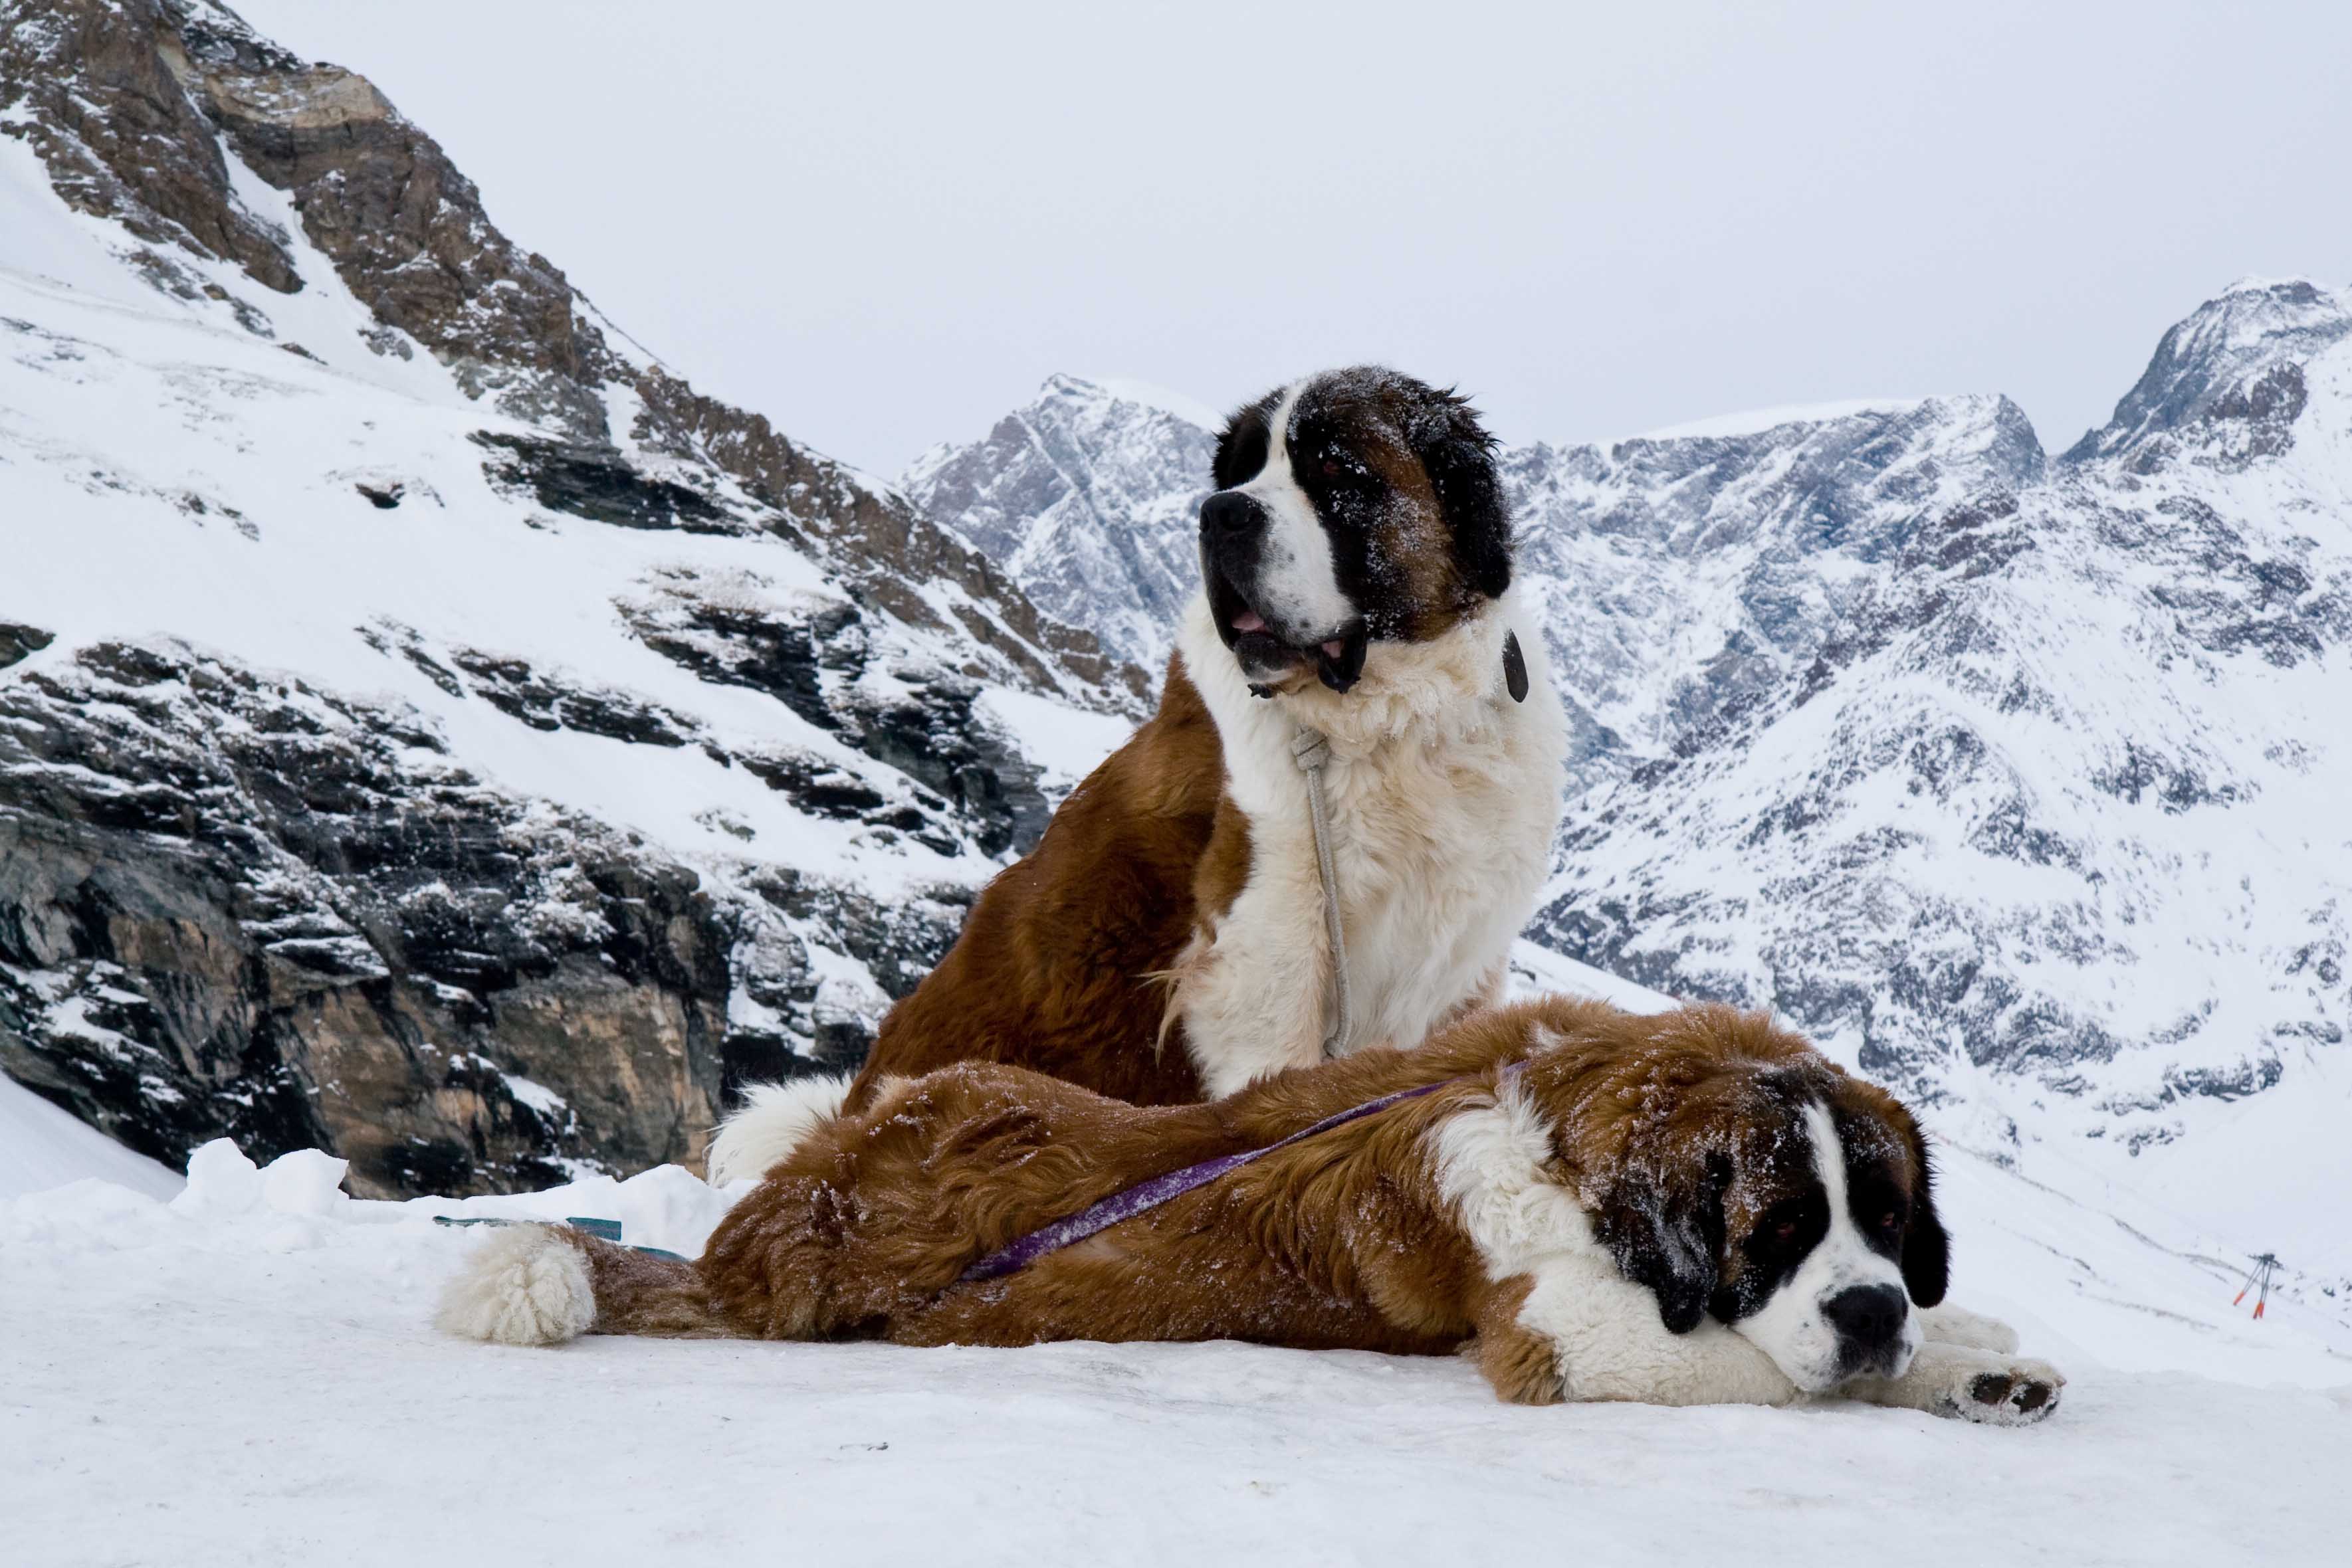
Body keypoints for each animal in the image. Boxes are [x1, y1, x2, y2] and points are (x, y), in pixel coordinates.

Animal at [437, 1001, 2060, 1429]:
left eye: (1886, 1222)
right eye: (1772, 1230)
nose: (1872, 1305)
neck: (1565, 1129)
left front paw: (1974, 1355)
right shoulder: (1563, 1328)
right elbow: (1752, 1363)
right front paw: (1924, 1362)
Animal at [705, 369, 1571, 1175]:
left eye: (1333, 470)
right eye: (1239, 470)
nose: (1221, 512)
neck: (1395, 718)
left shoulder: (1460, 968)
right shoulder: (1263, 960)